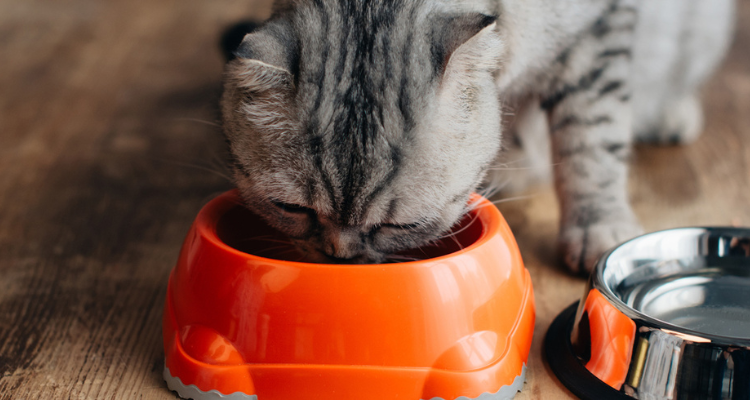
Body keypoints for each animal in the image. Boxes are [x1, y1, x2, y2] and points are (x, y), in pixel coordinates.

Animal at [220, 0, 736, 274]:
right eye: (291, 209)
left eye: (400, 226)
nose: (341, 258)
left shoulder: (600, 30)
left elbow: (592, 137)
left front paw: (597, 224)